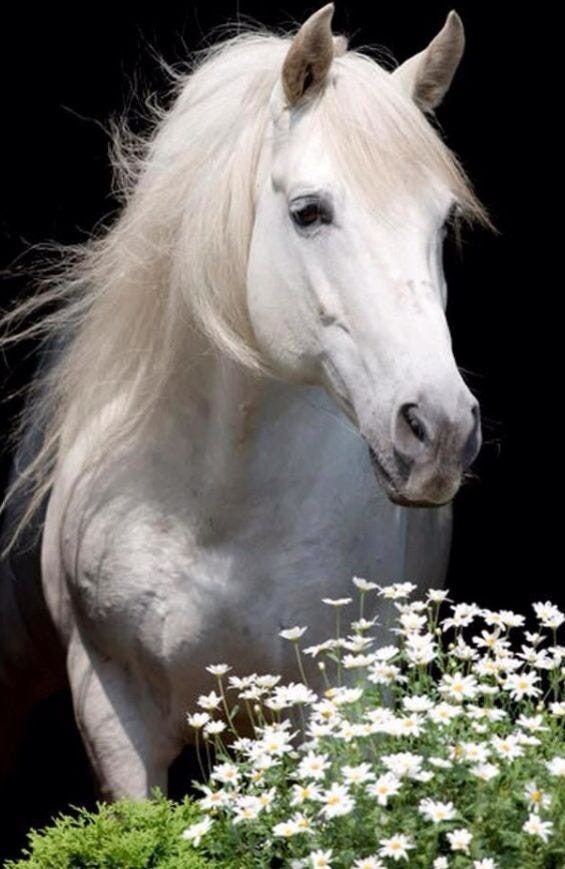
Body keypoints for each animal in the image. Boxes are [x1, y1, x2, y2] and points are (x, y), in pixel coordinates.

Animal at [0, 4, 487, 800]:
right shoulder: (111, 710)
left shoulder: (339, 697)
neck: (217, 509)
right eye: (309, 211)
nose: (439, 431)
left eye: (441, 223)